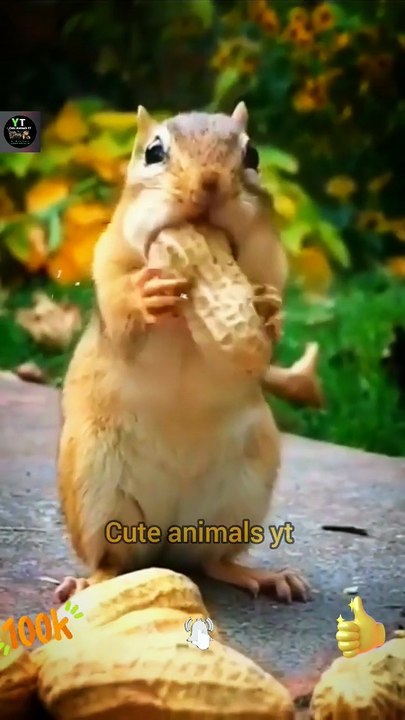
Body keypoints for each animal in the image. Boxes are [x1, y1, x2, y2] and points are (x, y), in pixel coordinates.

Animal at [54, 103, 316, 605]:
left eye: (253, 154)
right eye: (154, 152)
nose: (209, 184)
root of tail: (167, 542)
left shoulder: (270, 267)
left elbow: (263, 334)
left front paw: (267, 311)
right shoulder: (107, 264)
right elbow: (121, 309)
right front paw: (145, 294)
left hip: (243, 492)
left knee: (214, 560)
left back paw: (262, 576)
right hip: (96, 490)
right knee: (112, 561)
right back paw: (88, 581)